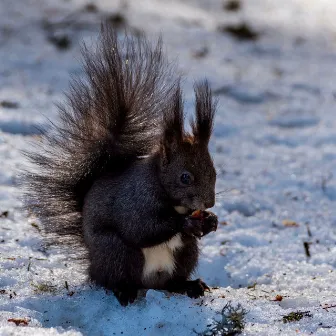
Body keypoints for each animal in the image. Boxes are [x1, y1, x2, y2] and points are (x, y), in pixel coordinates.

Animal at [26, 23, 220, 306]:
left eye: (214, 172)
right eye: (185, 177)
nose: (209, 204)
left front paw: (210, 222)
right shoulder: (134, 201)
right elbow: (141, 228)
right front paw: (187, 223)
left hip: (186, 253)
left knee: (172, 281)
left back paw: (189, 285)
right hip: (118, 252)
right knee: (115, 278)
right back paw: (124, 291)